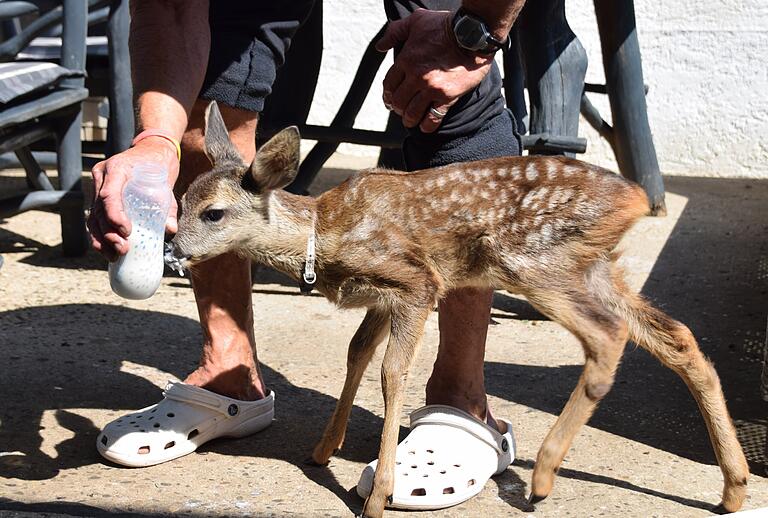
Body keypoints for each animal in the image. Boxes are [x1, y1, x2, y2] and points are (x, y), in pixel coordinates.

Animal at [170, 102, 752, 518]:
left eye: (213, 213)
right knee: (678, 337)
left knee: (608, 337)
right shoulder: (383, 296)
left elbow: (392, 373)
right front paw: (323, 449)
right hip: (594, 268)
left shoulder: (417, 282)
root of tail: (635, 199)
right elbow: (357, 354)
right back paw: (733, 488)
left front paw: (378, 496)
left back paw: (543, 476)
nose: (173, 248)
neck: (323, 235)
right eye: (179, 202)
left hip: (535, 261)